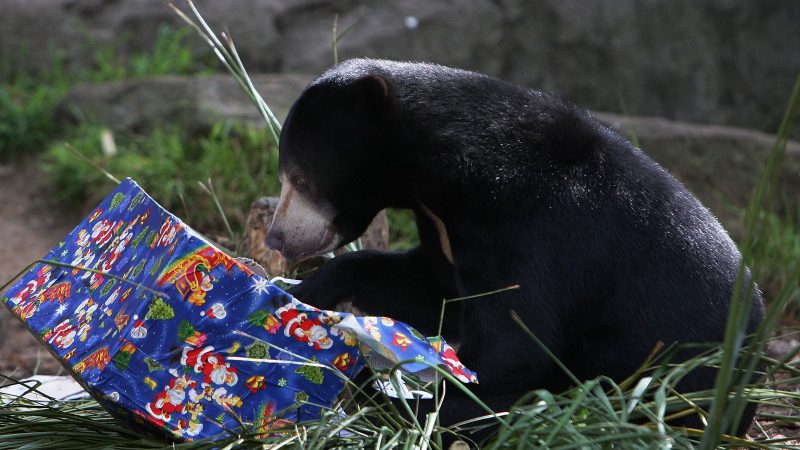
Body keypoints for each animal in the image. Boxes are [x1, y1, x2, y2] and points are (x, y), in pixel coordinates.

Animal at [266, 58, 764, 442]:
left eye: (301, 177)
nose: (277, 238)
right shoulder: (449, 230)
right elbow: (434, 290)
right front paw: (306, 292)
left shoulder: (541, 227)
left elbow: (515, 338)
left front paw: (402, 398)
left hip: (676, 373)